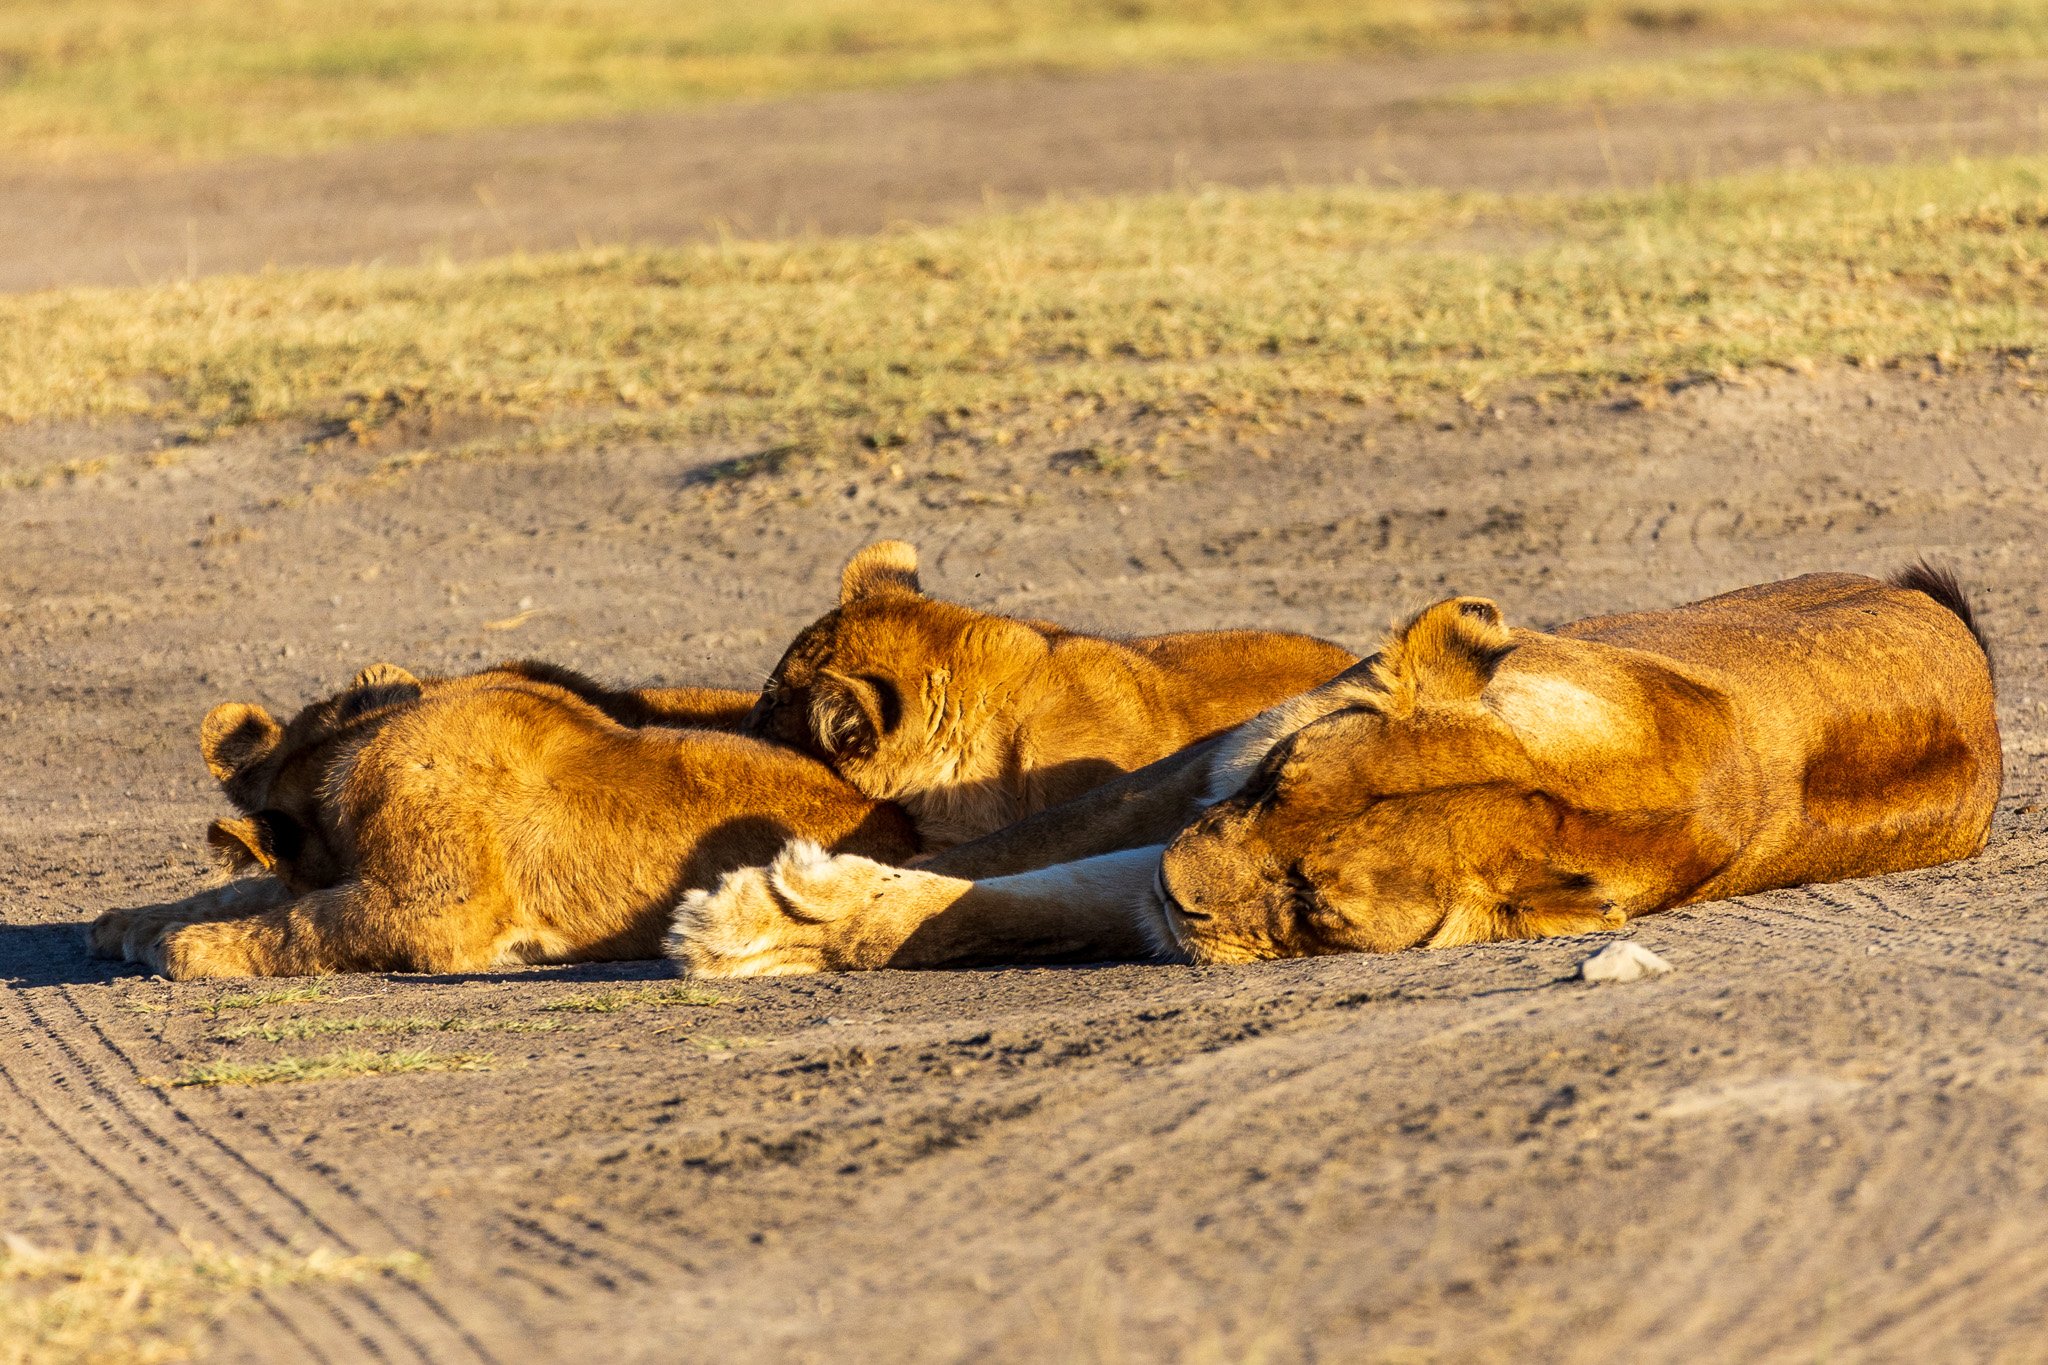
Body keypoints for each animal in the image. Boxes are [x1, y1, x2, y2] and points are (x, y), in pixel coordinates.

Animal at [671, 564, 1998, 970]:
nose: (1176, 898)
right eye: (1273, 789)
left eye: (1316, 907)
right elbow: (1011, 863)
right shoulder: (1198, 779)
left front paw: (765, 920)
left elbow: (995, 909)